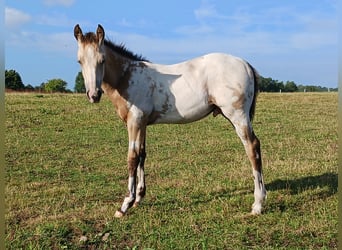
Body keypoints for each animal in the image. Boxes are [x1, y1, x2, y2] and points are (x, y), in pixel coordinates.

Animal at [74, 24, 268, 218]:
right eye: (80, 61)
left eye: (102, 60)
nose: (94, 95)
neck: (127, 77)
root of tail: (246, 64)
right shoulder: (142, 124)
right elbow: (142, 155)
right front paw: (139, 198)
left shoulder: (134, 122)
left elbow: (132, 158)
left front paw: (125, 205)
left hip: (237, 116)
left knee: (252, 147)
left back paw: (258, 204)